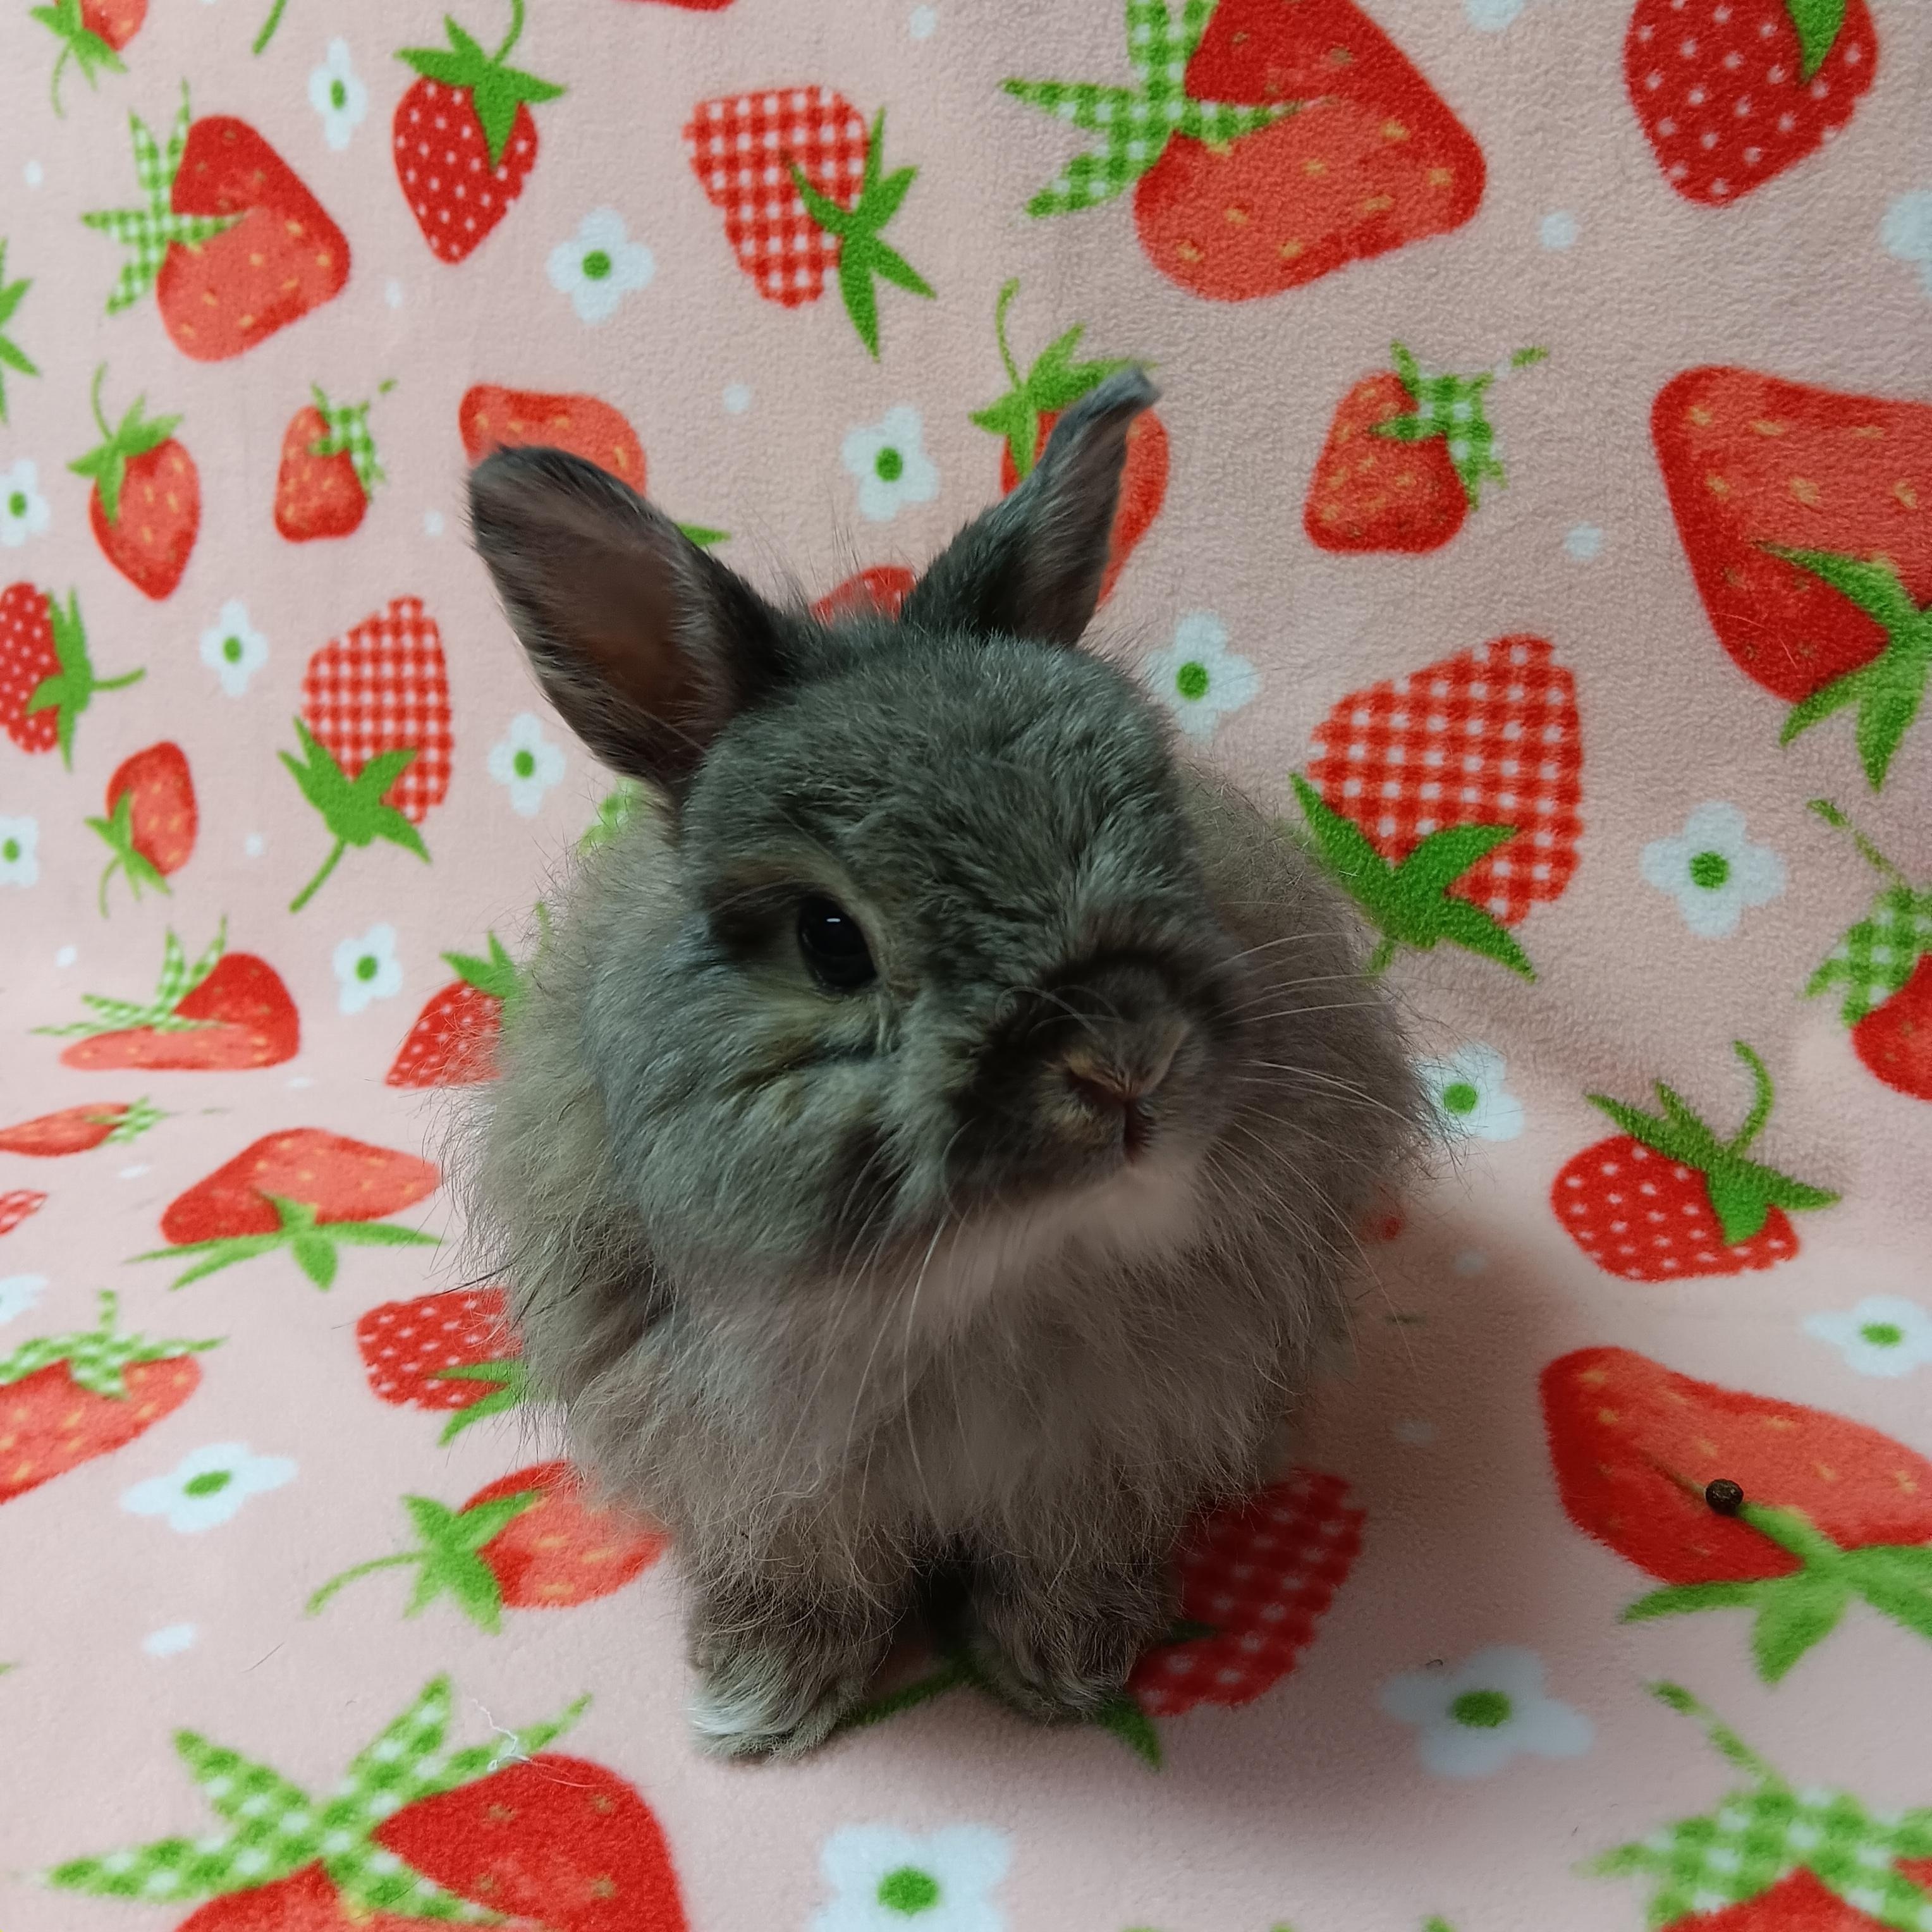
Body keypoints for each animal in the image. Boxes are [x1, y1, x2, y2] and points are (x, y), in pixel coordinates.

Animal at [460, 370, 1426, 1759]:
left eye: (1164, 829)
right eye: (829, 940)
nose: (1127, 1059)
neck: (987, 1282)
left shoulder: (1101, 1459)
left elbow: (1058, 1561)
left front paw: (1065, 1665)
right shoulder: (758, 1476)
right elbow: (801, 1576)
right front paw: (759, 1702)